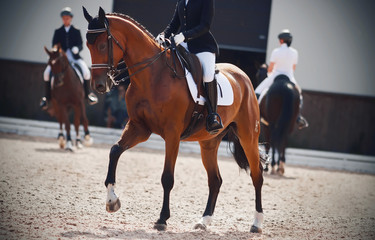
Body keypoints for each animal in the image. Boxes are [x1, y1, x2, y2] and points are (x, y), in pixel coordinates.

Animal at [83, 7, 264, 232]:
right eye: (87, 45)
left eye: (101, 44)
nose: (99, 85)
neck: (153, 75)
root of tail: (243, 76)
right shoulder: (139, 128)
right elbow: (115, 151)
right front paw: (112, 201)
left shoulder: (172, 134)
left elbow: (167, 178)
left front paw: (162, 219)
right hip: (208, 142)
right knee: (215, 180)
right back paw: (204, 221)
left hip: (248, 137)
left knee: (257, 175)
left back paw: (256, 223)